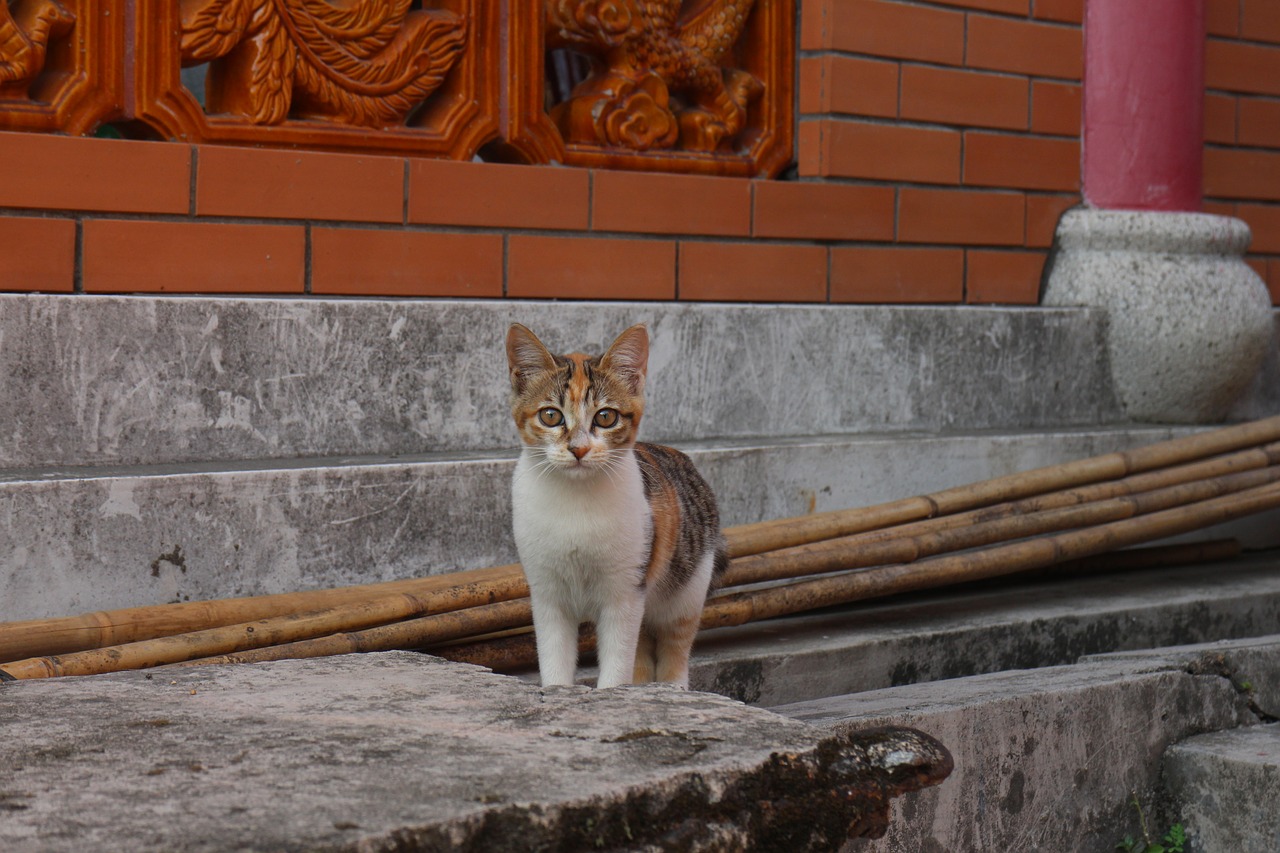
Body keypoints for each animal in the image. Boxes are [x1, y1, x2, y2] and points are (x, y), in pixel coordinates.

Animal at [509, 322, 732, 686]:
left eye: (606, 417)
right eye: (551, 415)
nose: (579, 449)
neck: (576, 499)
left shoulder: (626, 590)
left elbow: (618, 660)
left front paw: (614, 692)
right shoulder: (547, 593)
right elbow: (555, 657)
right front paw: (556, 690)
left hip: (687, 589)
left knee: (674, 644)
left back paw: (673, 686)